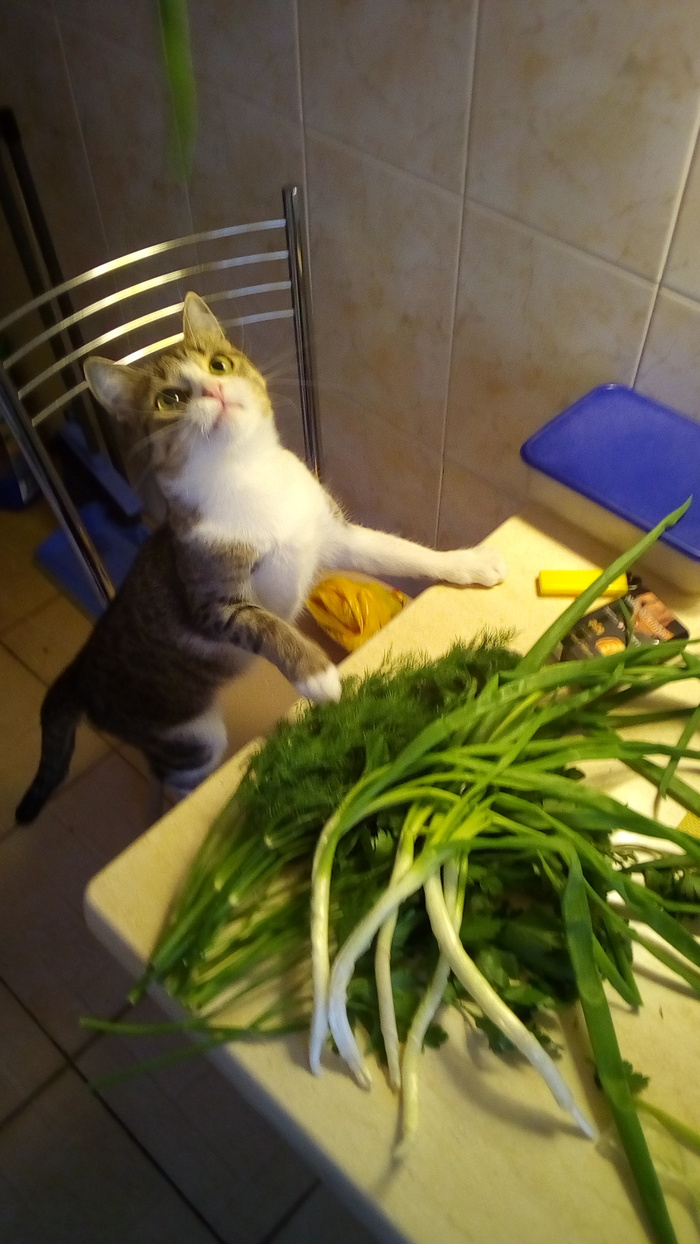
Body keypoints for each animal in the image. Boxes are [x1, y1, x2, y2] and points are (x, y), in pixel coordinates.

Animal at [13, 293, 507, 826]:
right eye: (170, 400)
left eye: (219, 364)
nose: (213, 389)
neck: (246, 475)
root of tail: (80, 672)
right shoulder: (213, 603)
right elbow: (267, 625)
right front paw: (317, 675)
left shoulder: (334, 536)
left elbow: (403, 552)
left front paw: (469, 563)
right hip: (190, 736)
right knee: (175, 779)